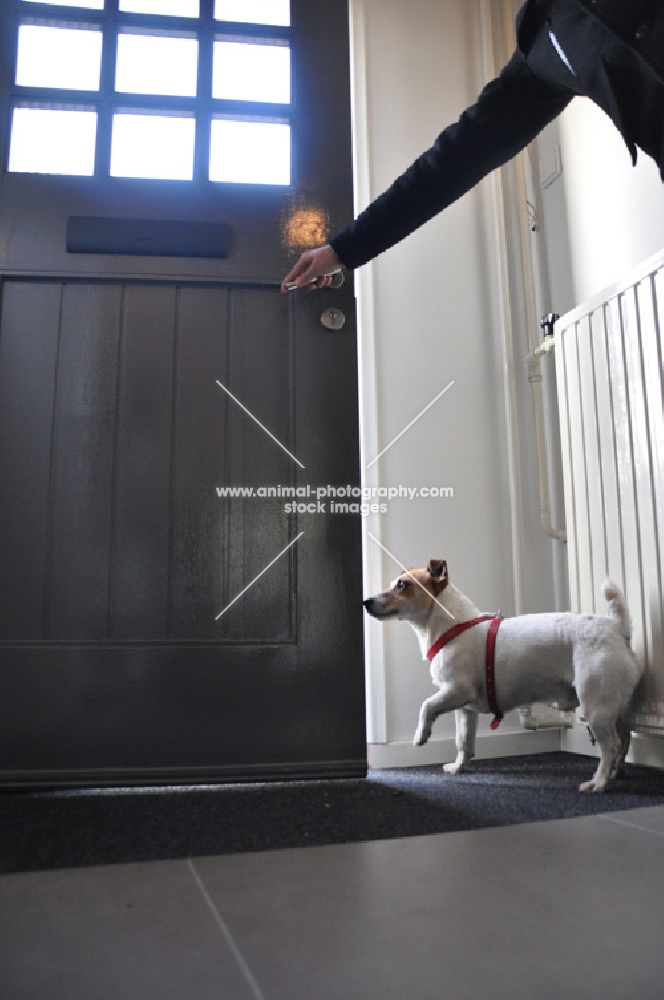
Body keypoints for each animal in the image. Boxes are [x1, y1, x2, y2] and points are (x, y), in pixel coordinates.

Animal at [364, 560, 644, 792]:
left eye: (402, 585)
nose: (366, 601)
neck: (453, 626)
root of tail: (616, 628)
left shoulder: (455, 691)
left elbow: (427, 706)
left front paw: (420, 736)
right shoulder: (464, 708)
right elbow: (463, 741)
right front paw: (459, 767)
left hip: (594, 707)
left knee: (611, 746)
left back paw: (598, 782)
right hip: (612, 708)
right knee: (624, 738)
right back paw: (616, 772)